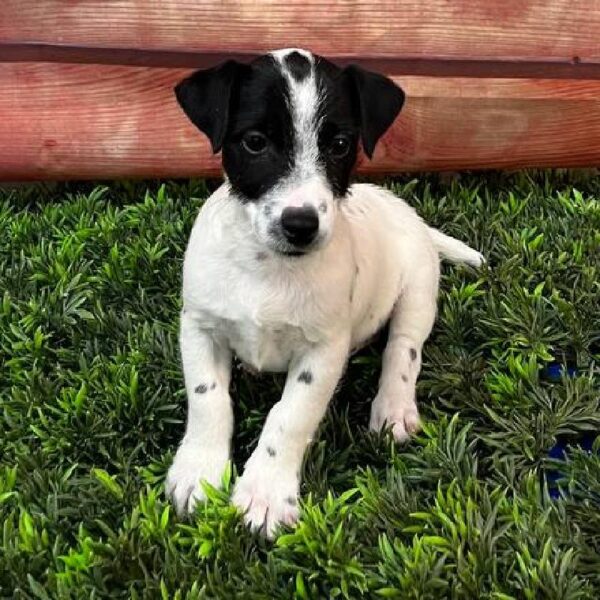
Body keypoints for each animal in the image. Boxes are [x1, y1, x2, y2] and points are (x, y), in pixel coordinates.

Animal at [165, 45, 482, 536]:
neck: (269, 267)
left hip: (417, 292)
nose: (301, 224)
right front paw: (198, 471)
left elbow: (290, 416)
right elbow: (208, 400)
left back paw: (394, 407)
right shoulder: (200, 327)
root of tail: (405, 211)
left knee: (403, 350)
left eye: (339, 145)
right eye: (254, 142)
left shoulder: (324, 352)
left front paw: (266, 491)